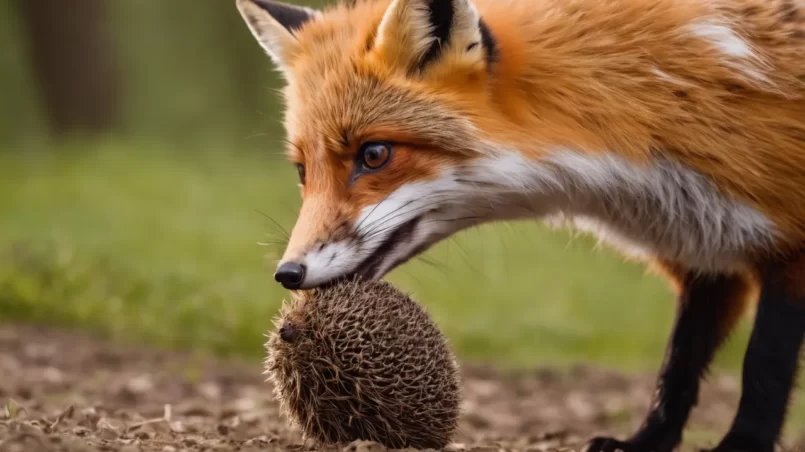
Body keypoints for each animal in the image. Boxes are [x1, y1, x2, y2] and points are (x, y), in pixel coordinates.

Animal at [232, 0, 804, 450]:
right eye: (303, 171)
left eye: (374, 155)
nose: (288, 274)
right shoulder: (703, 253)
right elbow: (678, 369)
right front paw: (647, 442)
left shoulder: (786, 247)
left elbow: (764, 368)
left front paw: (742, 446)